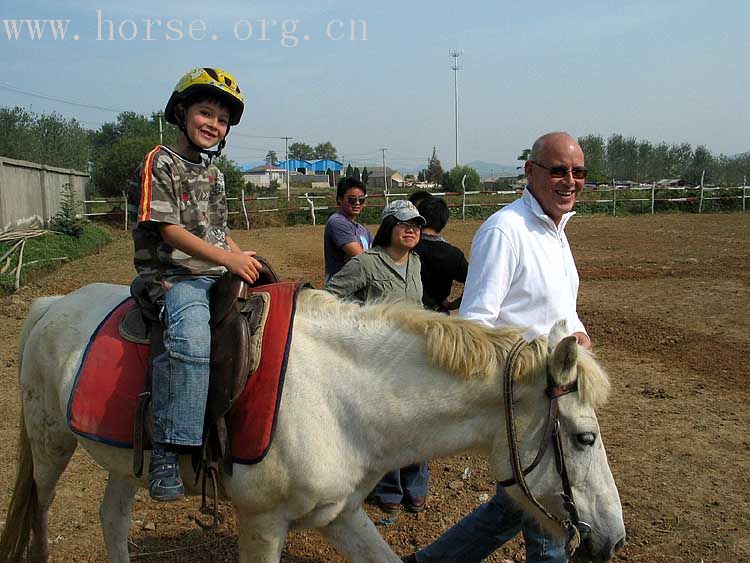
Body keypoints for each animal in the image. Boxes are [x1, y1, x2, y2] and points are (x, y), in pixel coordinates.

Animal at [0, 284, 624, 563]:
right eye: (584, 437)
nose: (613, 538)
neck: (338, 398)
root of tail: (50, 303)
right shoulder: (261, 523)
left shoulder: (339, 514)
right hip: (50, 447)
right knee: (42, 515)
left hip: (126, 463)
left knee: (113, 518)